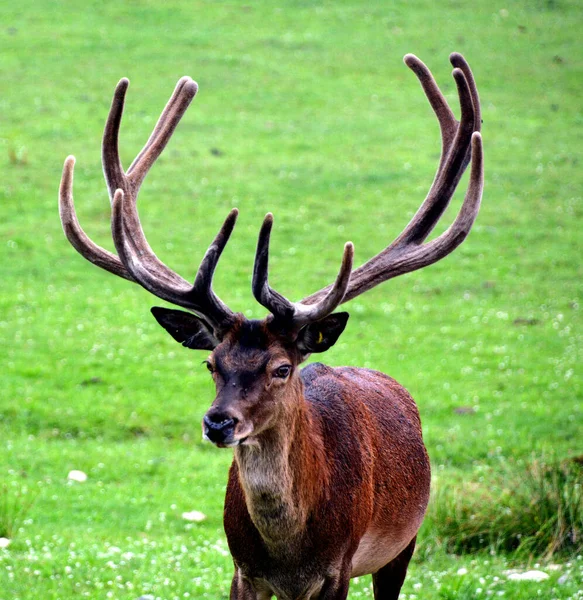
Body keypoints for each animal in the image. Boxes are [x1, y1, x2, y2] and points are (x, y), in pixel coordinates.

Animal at [59, 54, 484, 596]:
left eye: (282, 368)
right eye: (211, 364)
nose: (218, 422)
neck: (290, 555)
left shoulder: (339, 568)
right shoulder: (243, 569)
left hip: (402, 544)